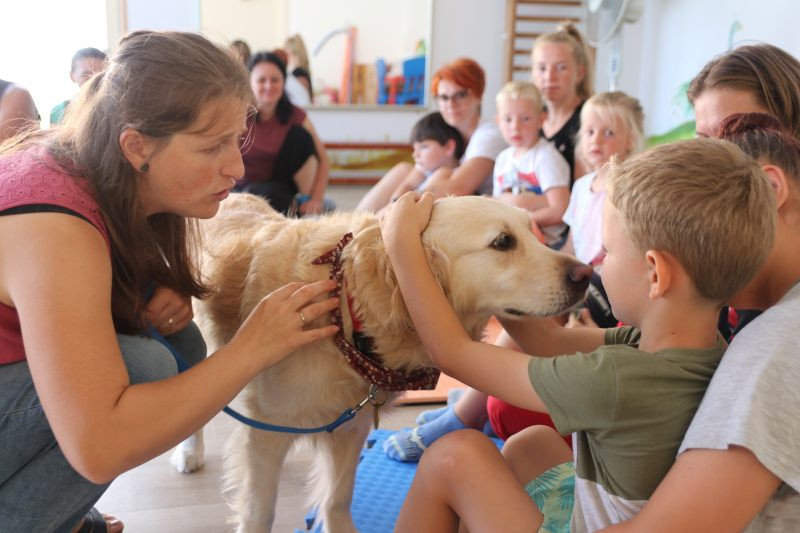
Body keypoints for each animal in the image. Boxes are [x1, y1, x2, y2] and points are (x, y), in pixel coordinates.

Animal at [171, 193, 590, 532]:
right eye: (503, 242)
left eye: (531, 231)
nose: (586, 275)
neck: (345, 314)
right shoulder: (268, 428)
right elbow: (260, 510)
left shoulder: (351, 426)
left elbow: (337, 497)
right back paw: (189, 453)